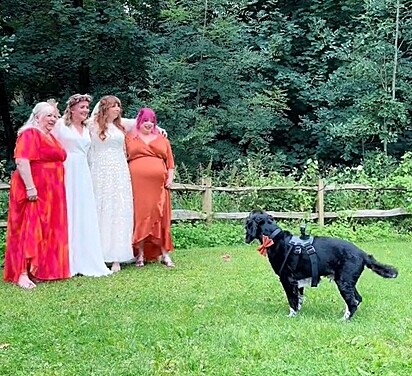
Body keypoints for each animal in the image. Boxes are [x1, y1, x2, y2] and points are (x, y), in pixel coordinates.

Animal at [245, 210, 400, 318]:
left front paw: (291, 316)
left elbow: (292, 301)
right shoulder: (298, 282)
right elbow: (299, 299)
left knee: (352, 302)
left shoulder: (287, 280)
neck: (273, 238)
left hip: (343, 282)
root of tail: (362, 253)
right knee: (357, 299)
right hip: (348, 282)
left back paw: (344, 320)